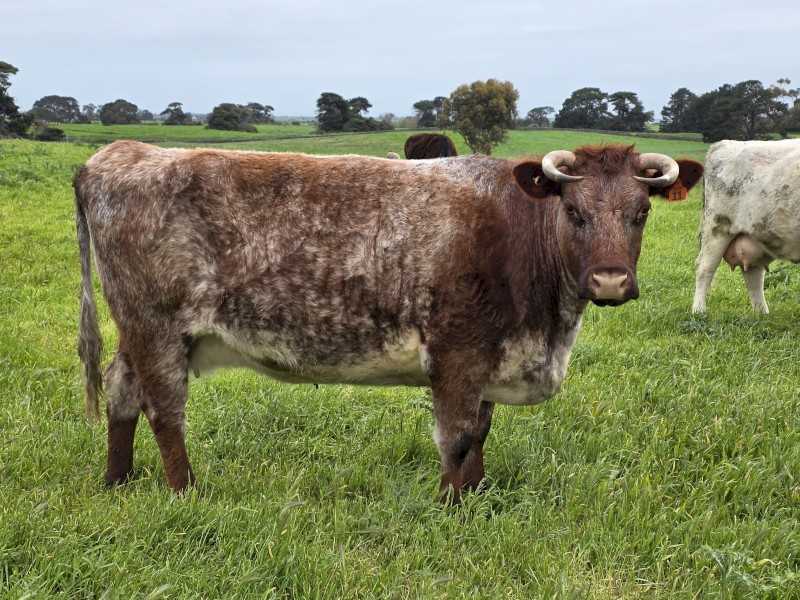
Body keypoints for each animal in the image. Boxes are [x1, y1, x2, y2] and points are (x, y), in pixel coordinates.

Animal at [75, 141, 701, 503]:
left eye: (641, 212)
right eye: (573, 211)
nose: (610, 282)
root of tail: (118, 152)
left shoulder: (492, 354)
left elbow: (481, 432)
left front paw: (478, 498)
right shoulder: (458, 351)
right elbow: (456, 437)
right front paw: (453, 510)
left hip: (140, 329)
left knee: (120, 390)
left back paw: (117, 481)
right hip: (155, 324)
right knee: (164, 410)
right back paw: (186, 494)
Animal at [692, 139, 800, 314]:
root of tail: (724, 143)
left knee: (753, 275)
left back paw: (762, 314)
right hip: (717, 226)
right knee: (705, 267)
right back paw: (699, 311)